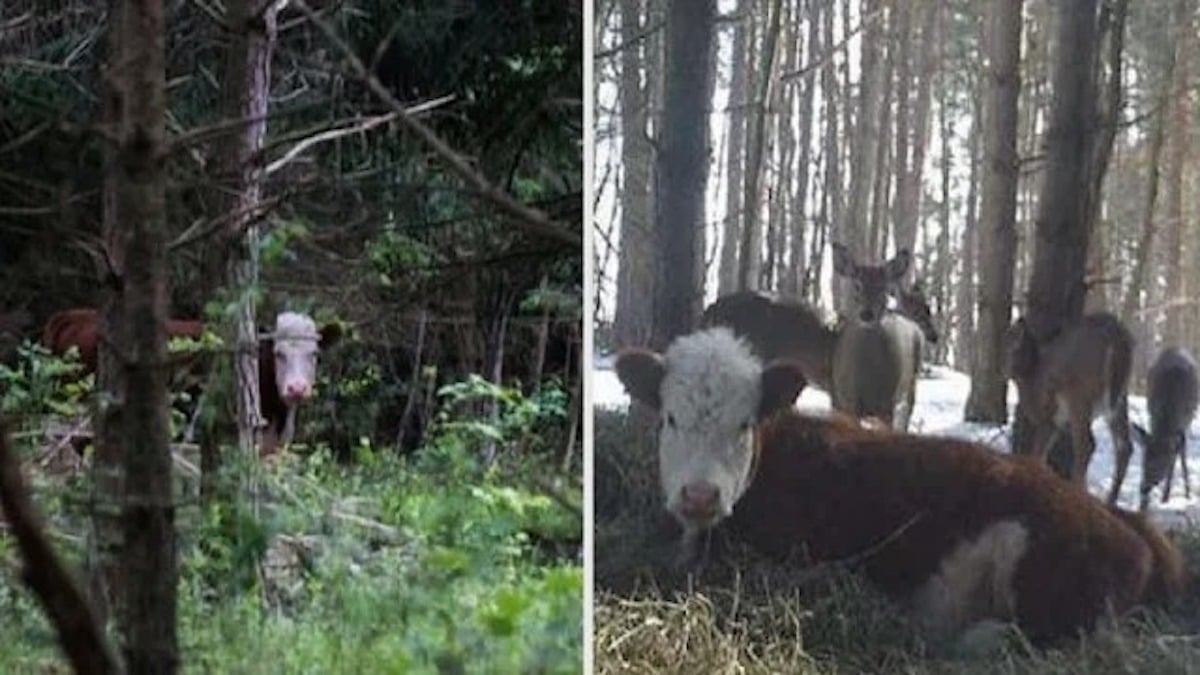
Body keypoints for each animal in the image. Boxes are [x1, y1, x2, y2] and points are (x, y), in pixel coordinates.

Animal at [1003, 309, 1132, 499]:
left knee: (1086, 445)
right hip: (1120, 398)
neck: (1032, 374)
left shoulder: (1047, 419)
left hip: (1078, 394)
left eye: (1009, 344)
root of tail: (1117, 335)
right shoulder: (1057, 424)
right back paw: (1110, 499)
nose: (1005, 372)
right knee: (1124, 447)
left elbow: (1036, 455)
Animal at [1128, 343, 1195, 506]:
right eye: (1143, 461)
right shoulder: (1152, 415)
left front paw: (1177, 495)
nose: (1143, 488)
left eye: (1159, 466)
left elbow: (1178, 458)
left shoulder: (1183, 425)